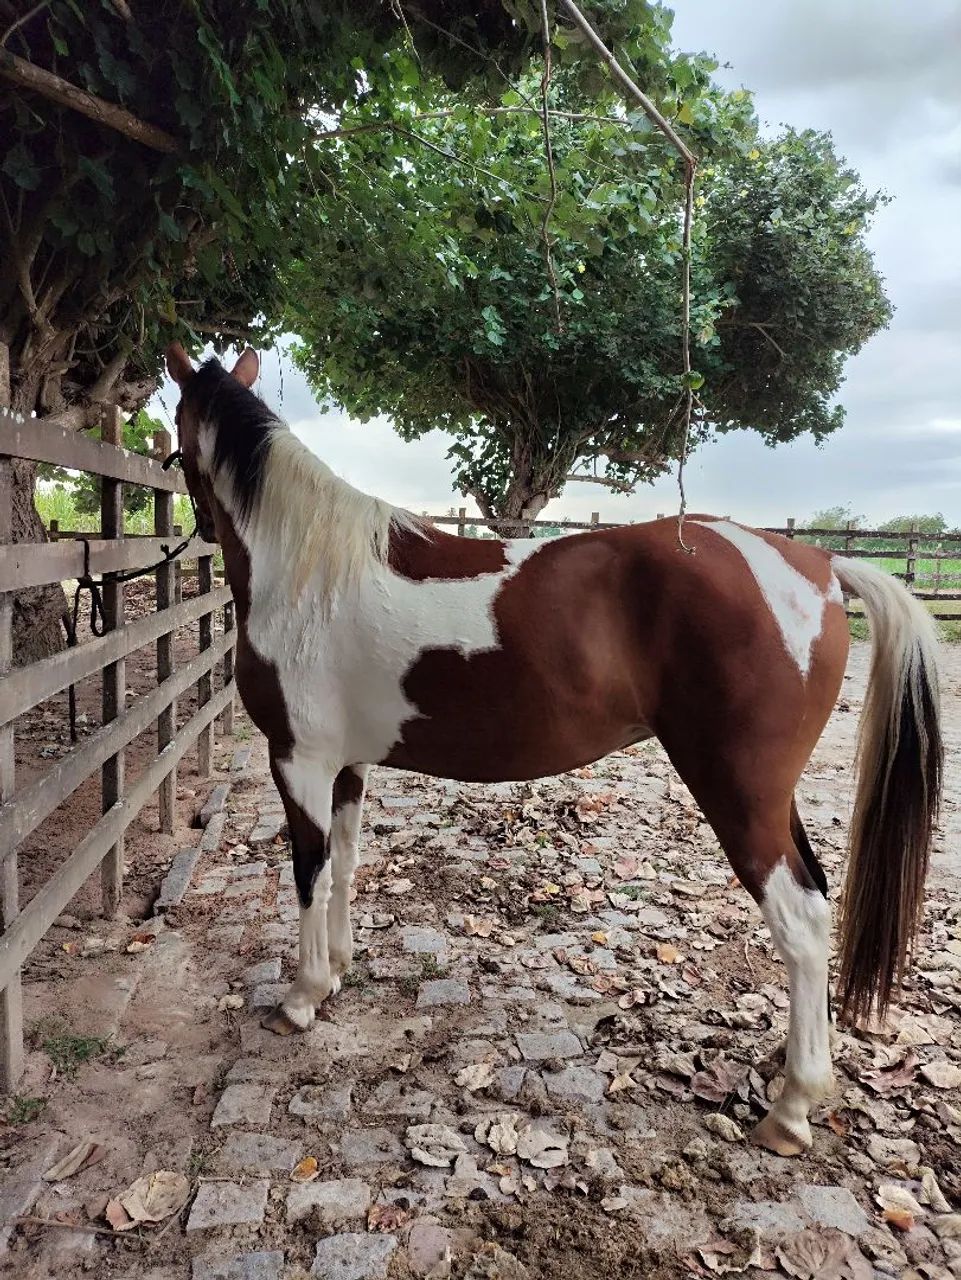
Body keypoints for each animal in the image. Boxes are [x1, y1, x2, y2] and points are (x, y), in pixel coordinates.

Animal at [165, 342, 942, 1157]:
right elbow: (345, 865)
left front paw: (302, 996)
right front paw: (340, 969)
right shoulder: (346, 764)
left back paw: (791, 1107)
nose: (201, 526)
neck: (310, 571)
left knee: (802, 922)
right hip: (771, 795)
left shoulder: (299, 761)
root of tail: (818, 566)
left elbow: (309, 874)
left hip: (738, 793)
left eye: (176, 429)